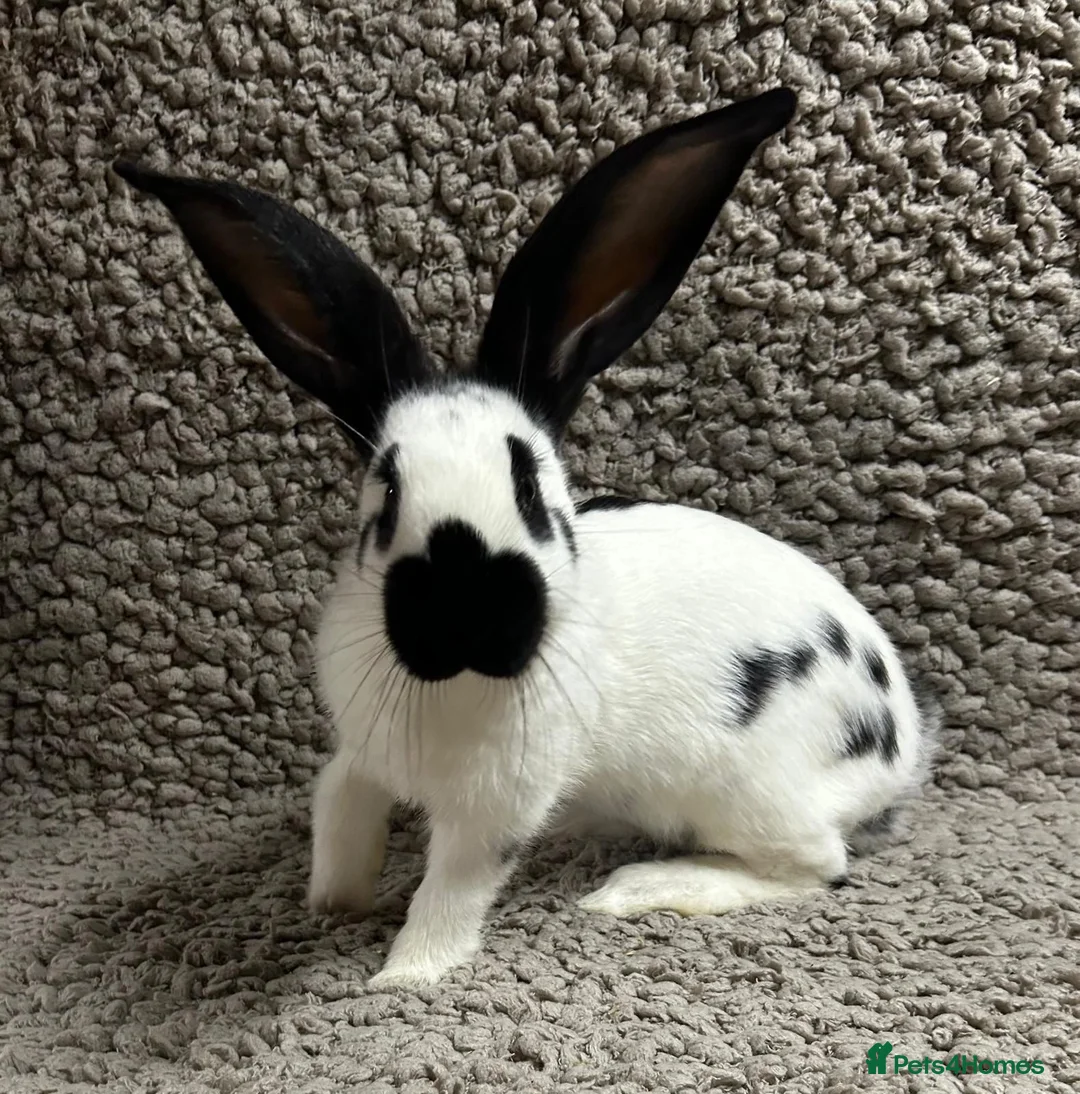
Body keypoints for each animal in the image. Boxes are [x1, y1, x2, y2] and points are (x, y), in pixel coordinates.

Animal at [113, 86, 939, 988]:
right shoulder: (362, 750)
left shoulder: (493, 807)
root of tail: (900, 751)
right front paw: (333, 899)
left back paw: (641, 887)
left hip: (747, 791)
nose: (466, 612)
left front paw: (404, 976)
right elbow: (339, 797)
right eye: (387, 493)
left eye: (534, 491)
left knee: (818, 865)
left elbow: (452, 887)